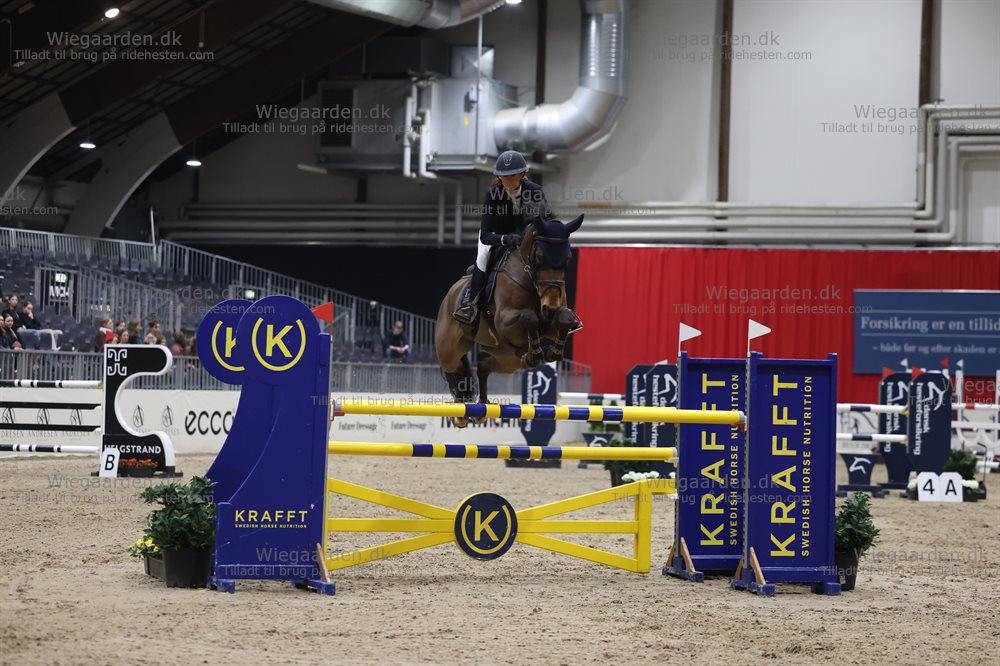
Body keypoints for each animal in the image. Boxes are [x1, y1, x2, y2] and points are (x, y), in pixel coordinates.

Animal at [435, 215, 583, 427]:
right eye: (540, 255)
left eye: (568, 258)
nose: (550, 306)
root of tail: (451, 293)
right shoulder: (505, 321)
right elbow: (530, 316)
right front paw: (537, 351)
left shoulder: (552, 319)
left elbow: (565, 317)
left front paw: (552, 351)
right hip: (450, 348)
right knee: (455, 367)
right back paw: (461, 413)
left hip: (506, 358)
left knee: (483, 364)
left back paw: (481, 407)